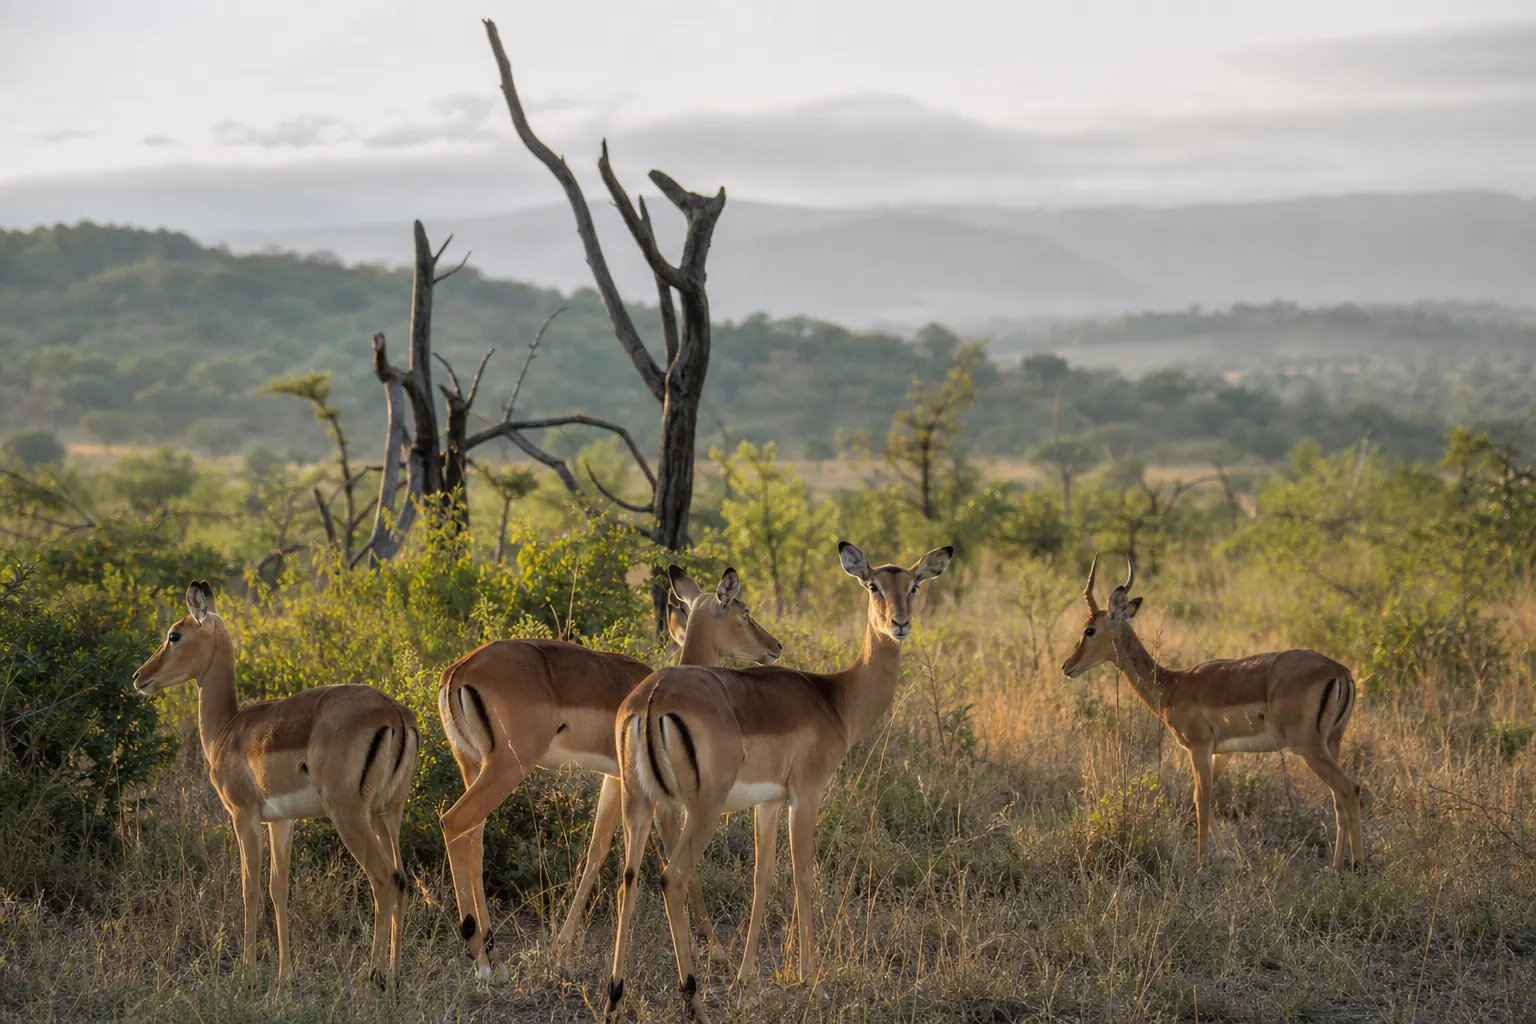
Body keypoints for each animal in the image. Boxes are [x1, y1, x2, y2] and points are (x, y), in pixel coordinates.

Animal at [132, 581, 418, 986]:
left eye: (175, 634)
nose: (140, 677)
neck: (228, 729)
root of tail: (394, 711)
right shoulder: (282, 821)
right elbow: (278, 888)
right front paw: (284, 973)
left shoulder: (243, 814)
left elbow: (249, 888)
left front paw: (248, 973)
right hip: (388, 814)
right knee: (403, 879)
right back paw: (393, 975)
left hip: (350, 815)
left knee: (383, 880)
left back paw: (372, 976)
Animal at [437, 565, 782, 978]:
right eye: (744, 612)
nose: (776, 646)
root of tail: (457, 672)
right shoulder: (656, 794)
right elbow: (677, 860)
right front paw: (714, 949)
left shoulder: (613, 779)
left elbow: (595, 851)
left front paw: (562, 944)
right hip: (505, 768)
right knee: (455, 823)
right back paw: (482, 960)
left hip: (473, 766)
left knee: (473, 839)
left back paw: (492, 956)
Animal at [605, 541, 954, 1022]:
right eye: (873, 585)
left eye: (915, 585)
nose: (899, 624)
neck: (835, 698)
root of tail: (652, 697)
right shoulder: (805, 795)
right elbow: (804, 876)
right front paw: (814, 983)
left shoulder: (767, 802)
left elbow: (763, 876)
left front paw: (747, 983)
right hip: (702, 810)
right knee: (672, 878)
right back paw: (694, 1000)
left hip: (639, 804)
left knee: (628, 877)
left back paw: (614, 997)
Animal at [1061, 555, 1364, 871]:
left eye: (1089, 630)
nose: (1067, 666)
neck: (1172, 685)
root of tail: (1340, 671)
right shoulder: (1222, 752)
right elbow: (1200, 799)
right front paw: (1230, 855)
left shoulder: (1198, 748)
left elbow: (1202, 801)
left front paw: (1201, 865)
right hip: (1332, 743)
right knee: (1338, 799)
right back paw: (1336, 866)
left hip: (1307, 746)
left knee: (1350, 789)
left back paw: (1358, 866)